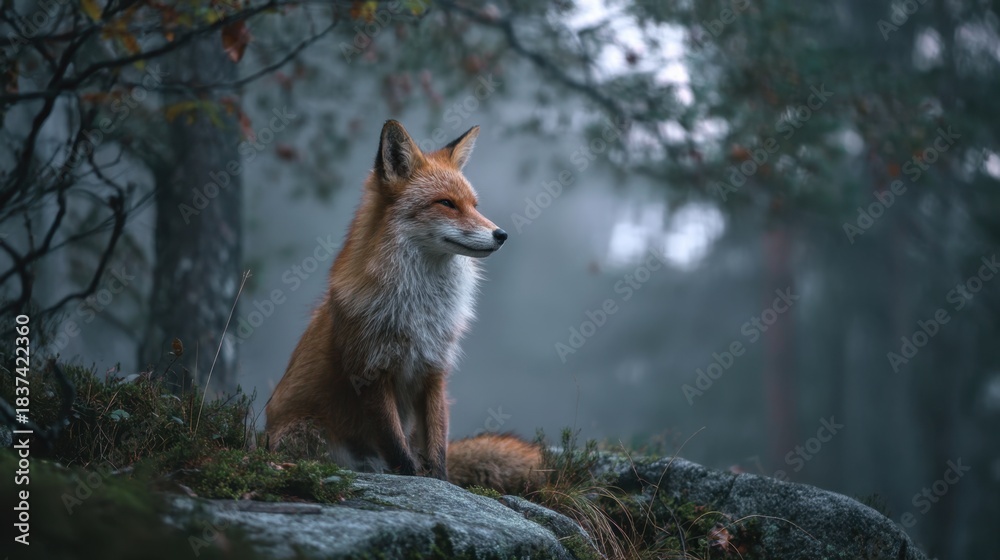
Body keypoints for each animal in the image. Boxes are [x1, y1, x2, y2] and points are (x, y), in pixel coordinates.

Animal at [265, 120, 541, 491]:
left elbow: (437, 446)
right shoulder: (371, 371)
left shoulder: (434, 370)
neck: (420, 310)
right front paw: (413, 478)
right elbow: (397, 448)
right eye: (447, 203)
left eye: (474, 205)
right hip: (304, 433)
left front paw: (440, 482)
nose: (502, 235)